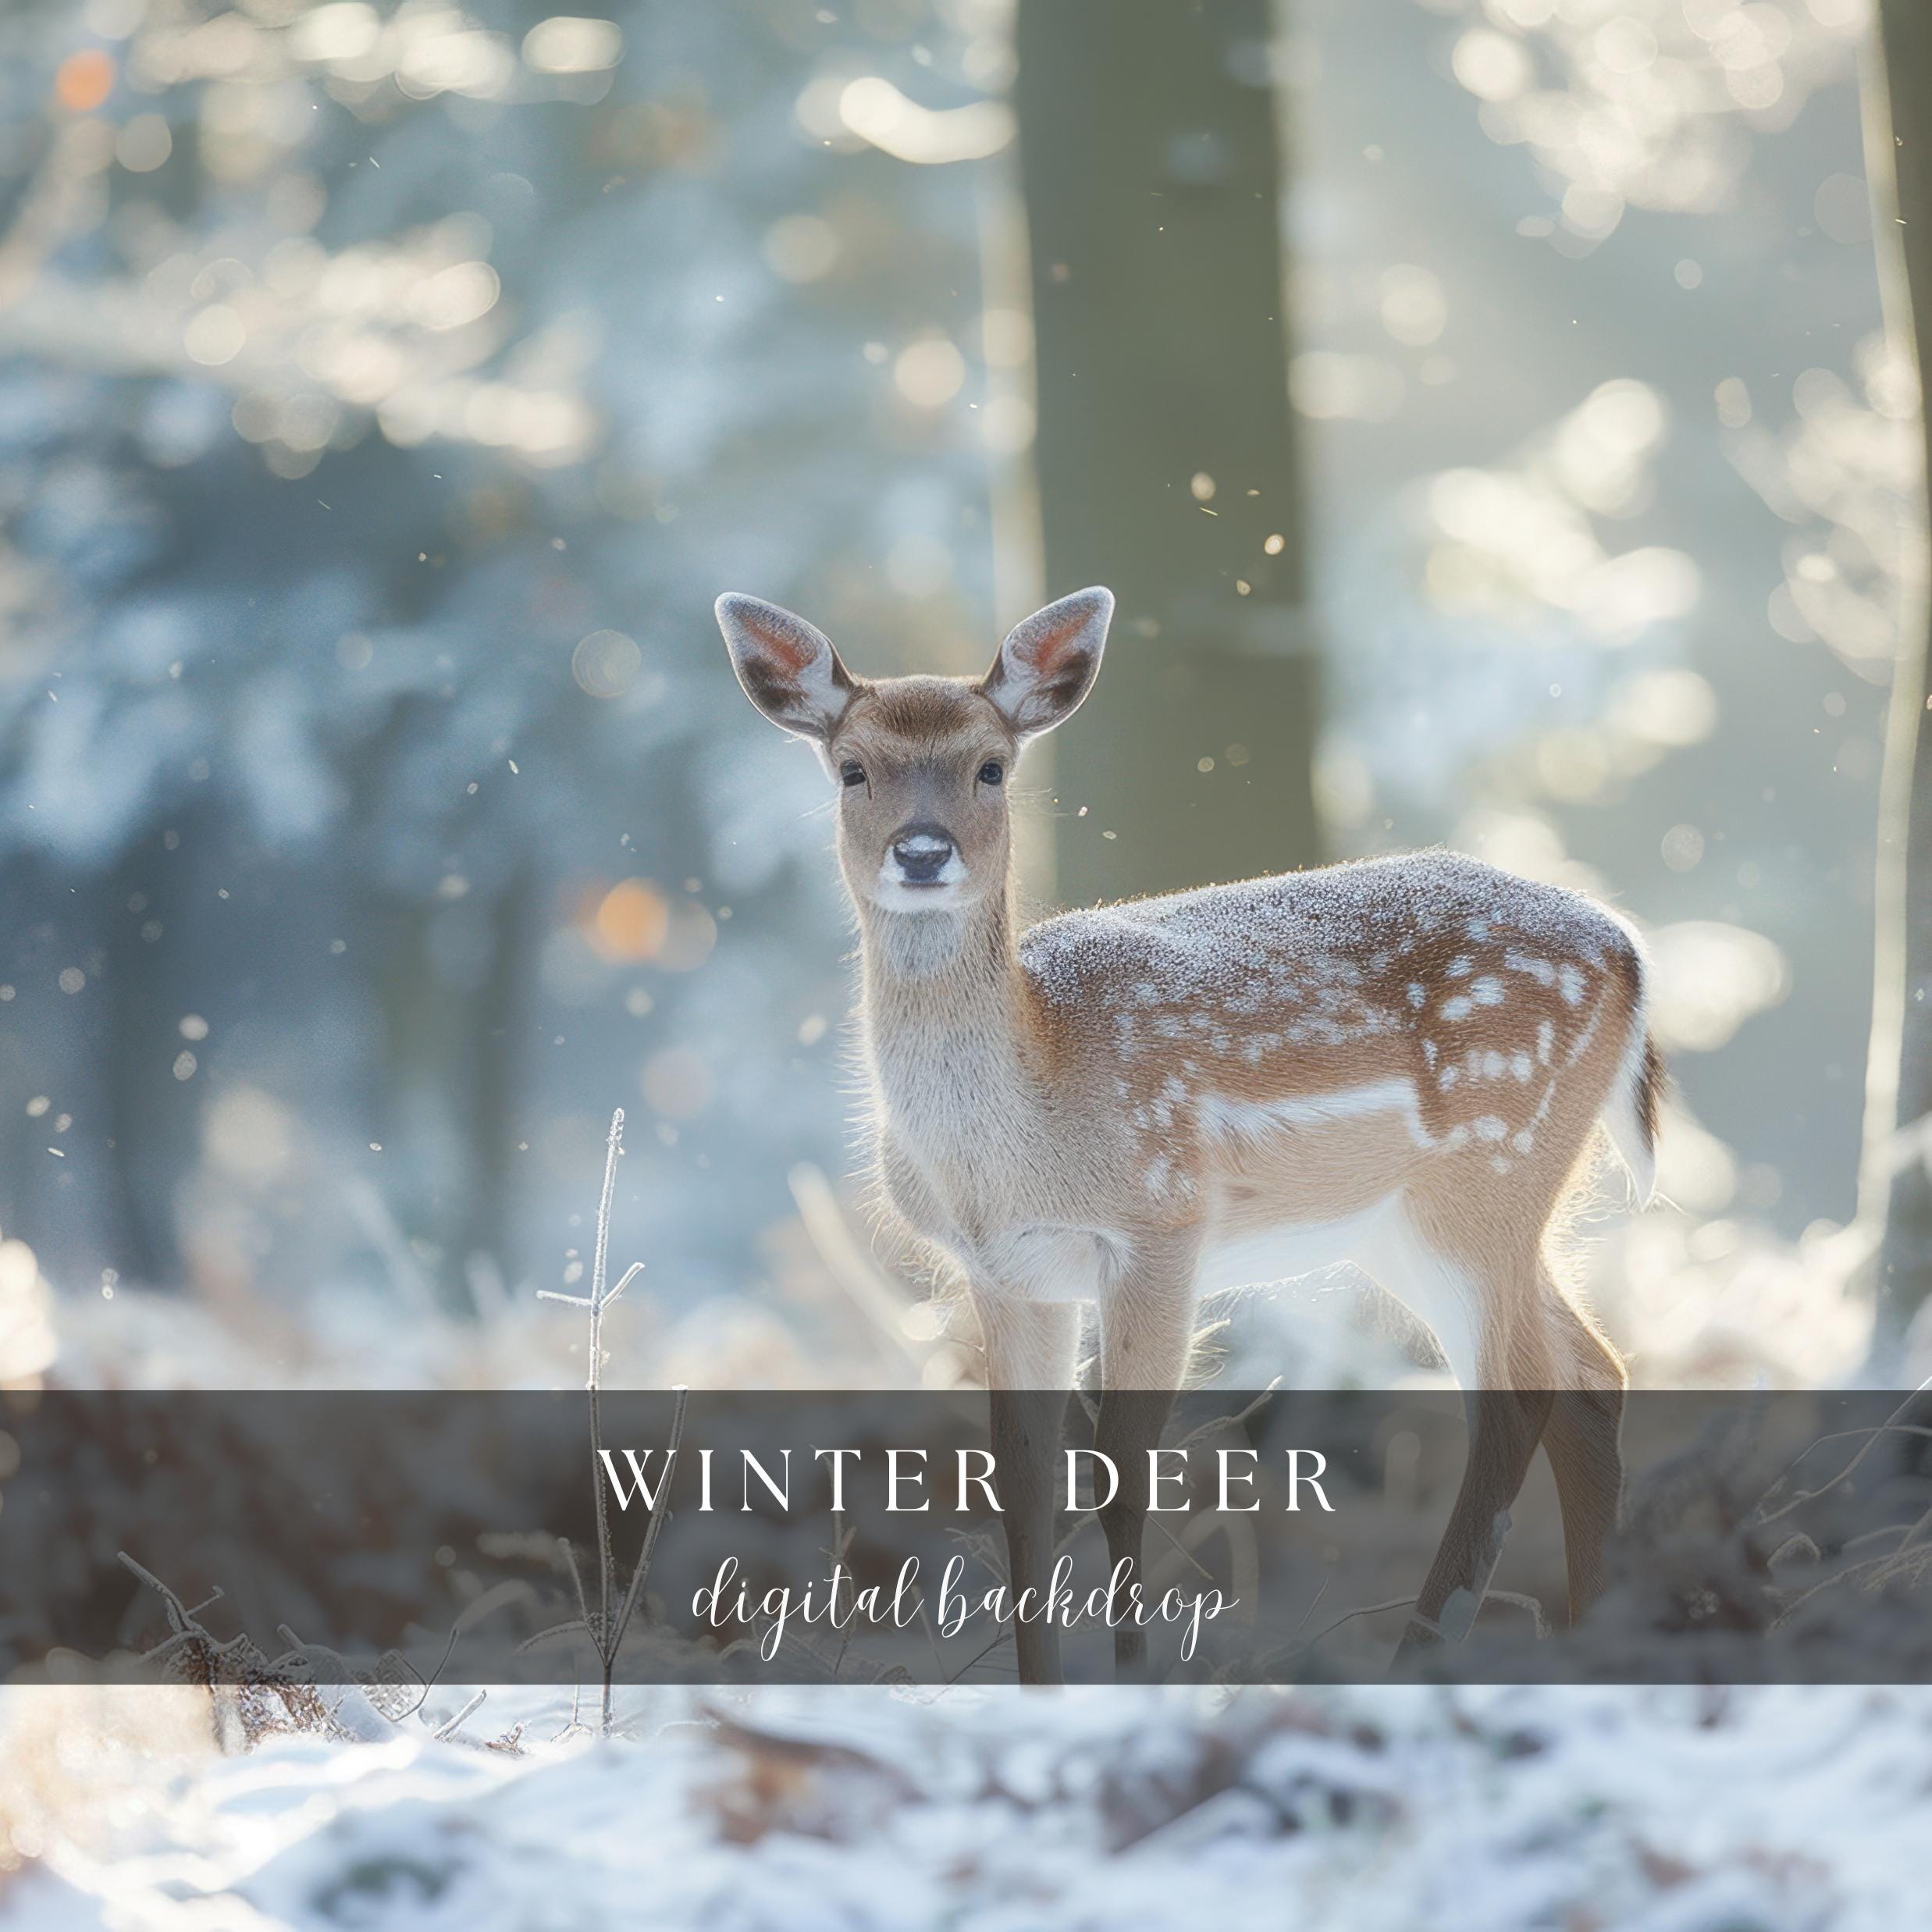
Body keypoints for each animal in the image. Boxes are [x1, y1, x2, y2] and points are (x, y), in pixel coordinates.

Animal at [715, 584, 1659, 1684]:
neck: (1021, 1128)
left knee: (1517, 1397)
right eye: (851, 768)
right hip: (1415, 1222)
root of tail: (1629, 950)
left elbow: (1123, 1474)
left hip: (1488, 1169)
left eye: (991, 765)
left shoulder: (1161, 1226)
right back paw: (1600, 1642)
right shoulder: (1006, 1272)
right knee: (1593, 1373)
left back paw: (1421, 1655)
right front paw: (1042, 1692)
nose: (920, 852)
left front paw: (1135, 1675)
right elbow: (1020, 1488)